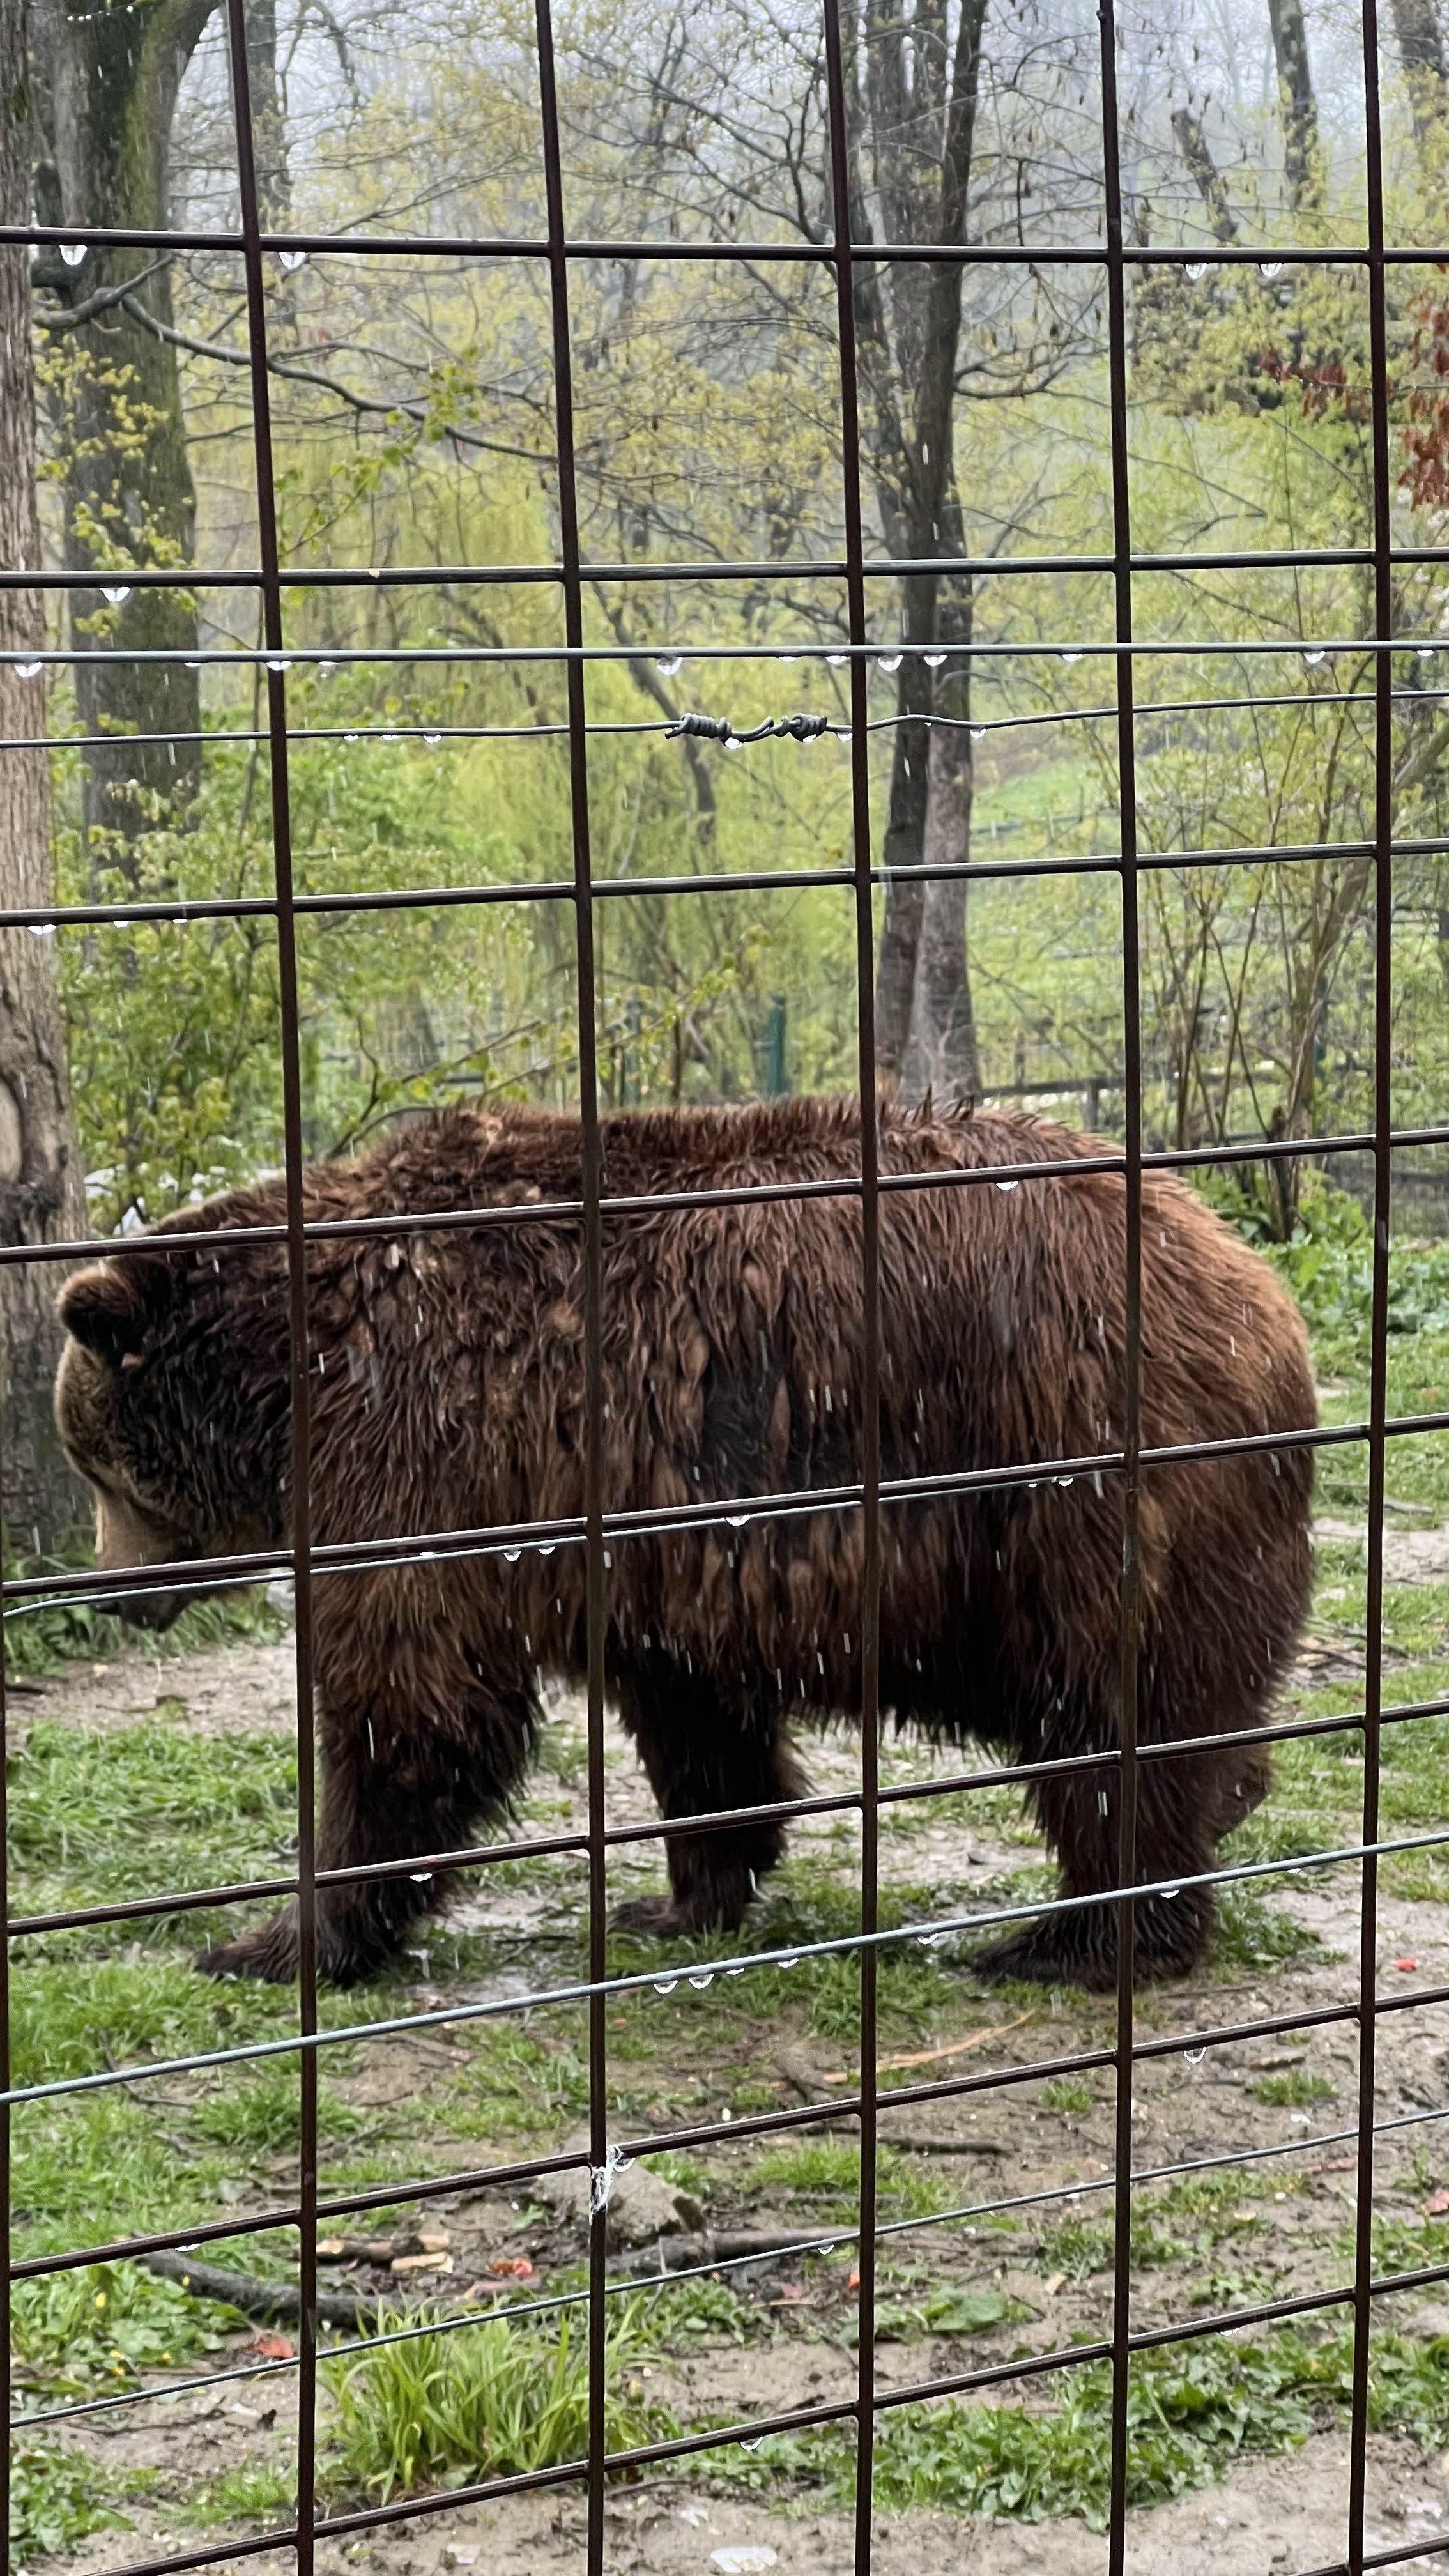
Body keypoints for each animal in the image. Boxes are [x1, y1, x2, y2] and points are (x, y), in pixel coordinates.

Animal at [53, 1095, 1315, 1991]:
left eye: (97, 1466)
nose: (111, 1592)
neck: (292, 1378)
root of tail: (1254, 1290)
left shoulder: (423, 1449)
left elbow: (410, 1705)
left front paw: (275, 1938)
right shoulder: (641, 1537)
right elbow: (693, 1719)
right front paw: (680, 1897)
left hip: (1070, 1478)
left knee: (1109, 1713)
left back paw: (1074, 1941)